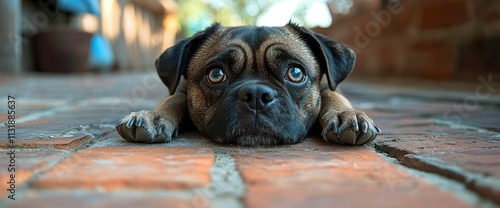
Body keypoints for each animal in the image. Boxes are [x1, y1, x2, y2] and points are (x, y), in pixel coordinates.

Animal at [115, 22, 380, 145]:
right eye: (216, 74)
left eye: (295, 73)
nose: (256, 94)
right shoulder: (180, 88)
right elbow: (174, 98)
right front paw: (153, 115)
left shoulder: (328, 86)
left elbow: (333, 94)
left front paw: (346, 115)